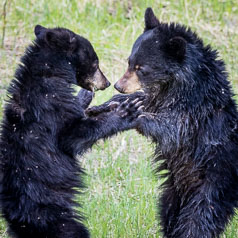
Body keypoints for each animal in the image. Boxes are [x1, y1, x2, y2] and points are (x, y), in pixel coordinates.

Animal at [0, 25, 141, 237]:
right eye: (96, 63)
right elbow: (73, 136)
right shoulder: (51, 108)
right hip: (56, 217)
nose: (107, 83)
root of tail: (16, 215)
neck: (49, 75)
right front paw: (126, 111)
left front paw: (86, 97)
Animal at [112, 7, 238, 238]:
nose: (118, 85)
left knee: (199, 220)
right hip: (175, 190)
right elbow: (148, 102)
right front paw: (118, 102)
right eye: (129, 62)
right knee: (169, 212)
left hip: (213, 186)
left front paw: (135, 116)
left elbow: (173, 128)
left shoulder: (196, 111)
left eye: (141, 68)